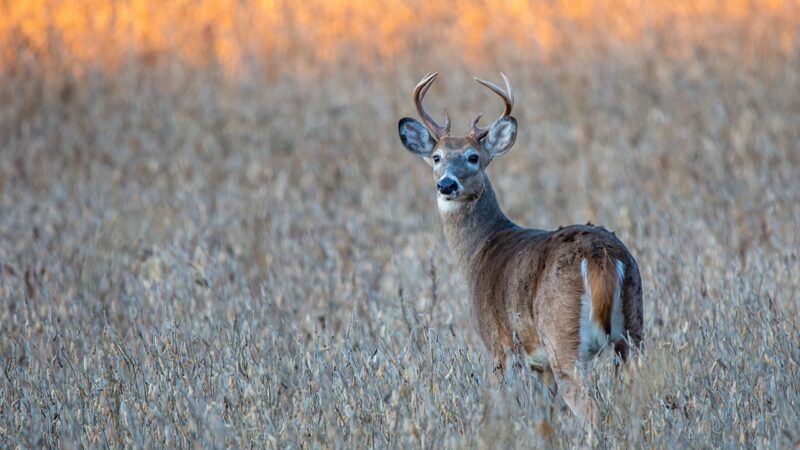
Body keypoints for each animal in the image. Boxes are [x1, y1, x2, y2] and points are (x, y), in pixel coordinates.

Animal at [400, 72, 644, 428]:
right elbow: (546, 414)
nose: (446, 184)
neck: (480, 249)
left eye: (473, 157)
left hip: (563, 337)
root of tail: (601, 256)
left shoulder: (498, 343)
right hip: (633, 331)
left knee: (590, 409)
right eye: (437, 156)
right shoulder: (539, 364)